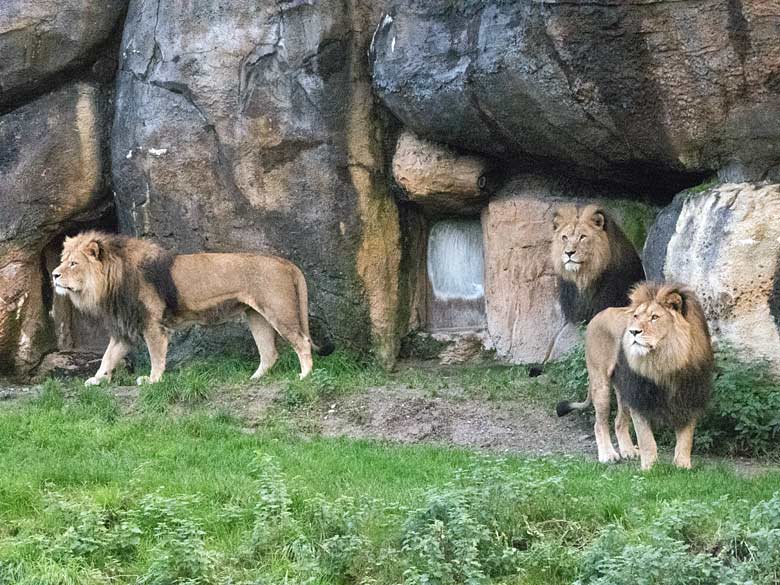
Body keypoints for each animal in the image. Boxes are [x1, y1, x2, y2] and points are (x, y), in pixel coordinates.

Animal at [51, 230, 332, 386]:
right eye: (63, 261)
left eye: (73, 263)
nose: (53, 275)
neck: (113, 279)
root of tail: (285, 262)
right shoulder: (126, 329)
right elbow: (107, 357)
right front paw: (97, 379)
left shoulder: (153, 325)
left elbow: (156, 356)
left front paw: (153, 380)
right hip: (256, 316)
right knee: (270, 353)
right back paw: (254, 379)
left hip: (279, 312)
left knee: (302, 342)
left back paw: (305, 376)